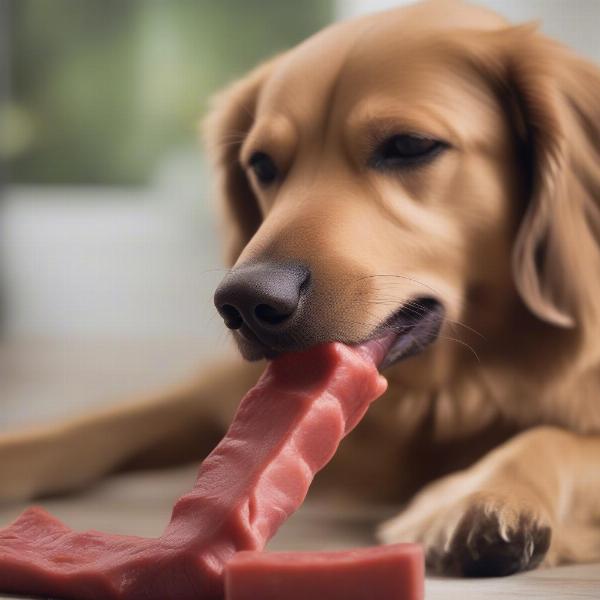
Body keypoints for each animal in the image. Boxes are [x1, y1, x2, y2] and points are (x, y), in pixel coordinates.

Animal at [1, 0, 600, 576]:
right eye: (262, 164)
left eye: (409, 145)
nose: (244, 303)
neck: (440, 396)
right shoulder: (207, 392)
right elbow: (80, 427)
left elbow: (557, 439)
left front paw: (483, 493)